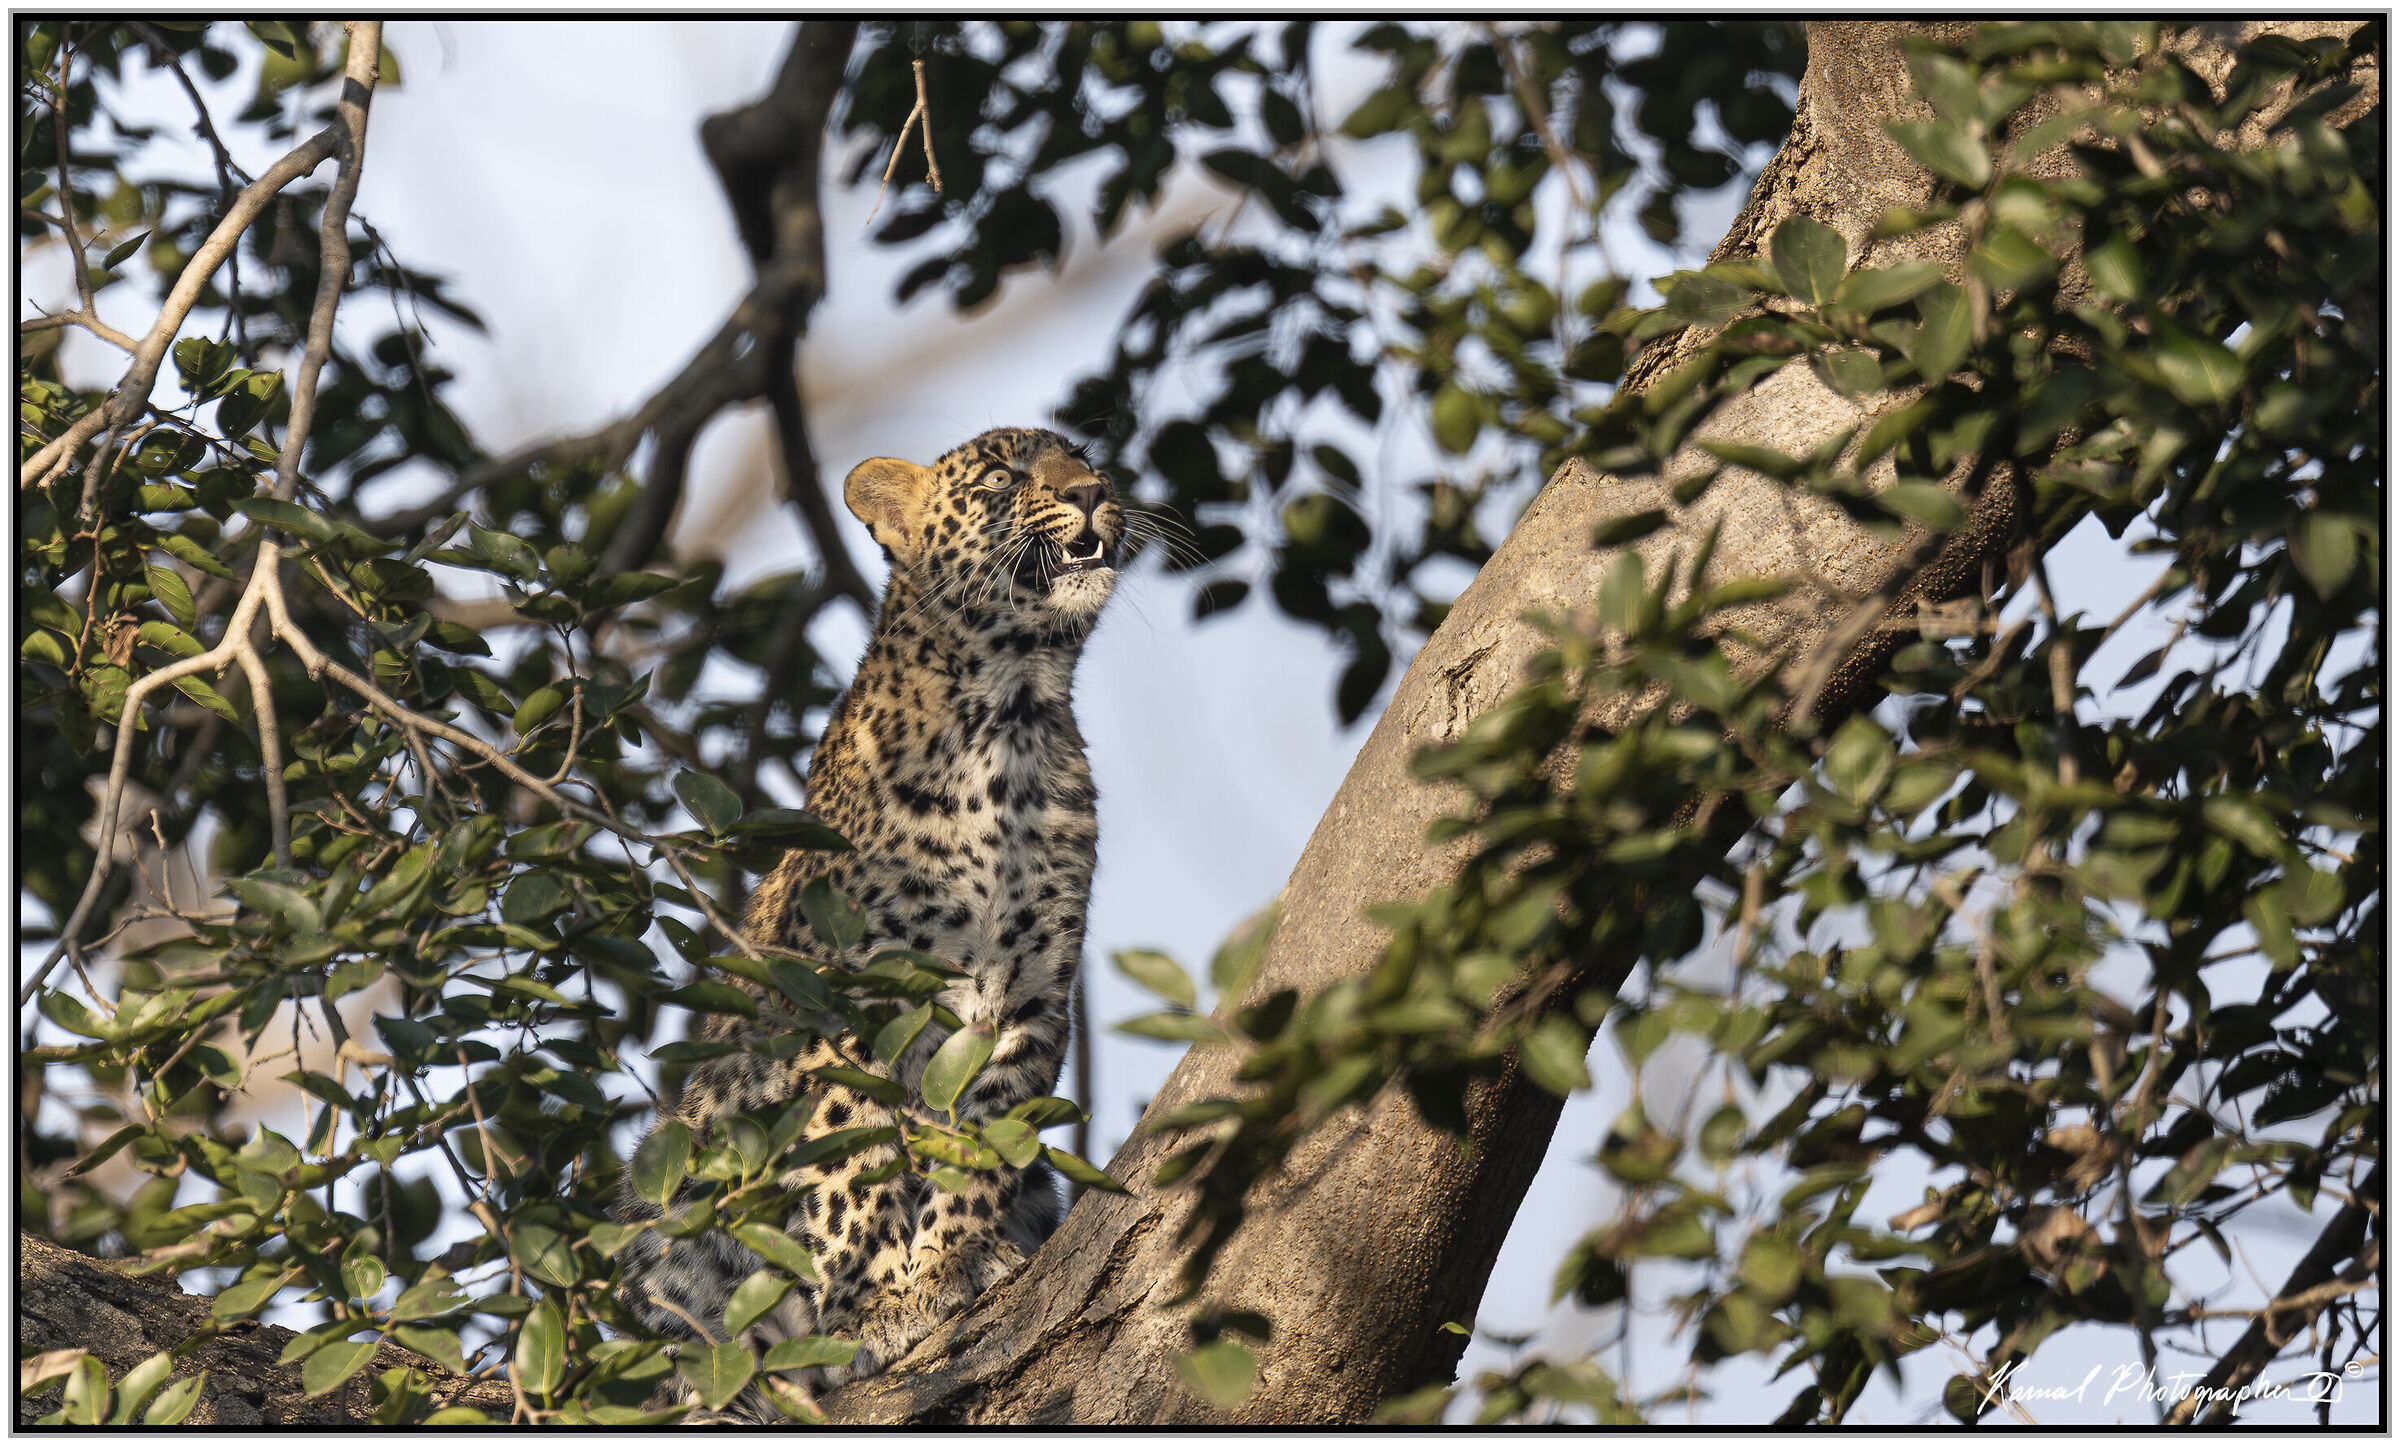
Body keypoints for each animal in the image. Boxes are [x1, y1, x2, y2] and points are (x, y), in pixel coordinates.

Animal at [616, 426, 1125, 1417]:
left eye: (1087, 461)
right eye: (1004, 475)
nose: (1092, 493)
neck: (1009, 714)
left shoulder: (1030, 995)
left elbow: (982, 1142)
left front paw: (948, 1263)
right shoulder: (848, 1002)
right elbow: (856, 1157)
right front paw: (868, 1307)